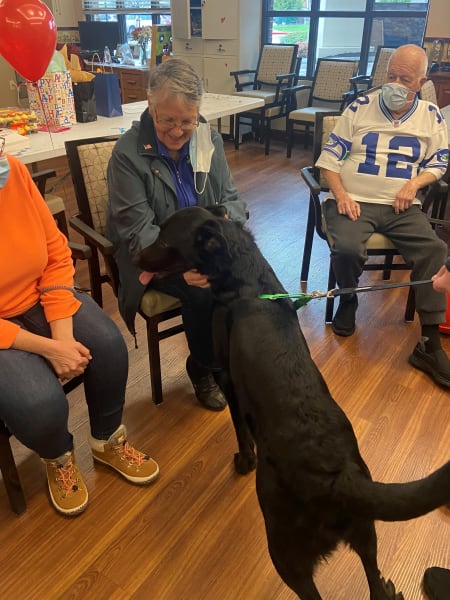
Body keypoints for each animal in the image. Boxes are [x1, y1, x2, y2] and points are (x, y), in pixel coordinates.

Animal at [136, 207, 450, 600]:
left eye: (164, 239)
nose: (135, 258)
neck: (246, 280)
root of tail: (336, 477)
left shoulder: (229, 380)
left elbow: (241, 431)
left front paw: (244, 461)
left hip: (285, 551)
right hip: (366, 531)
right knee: (375, 581)